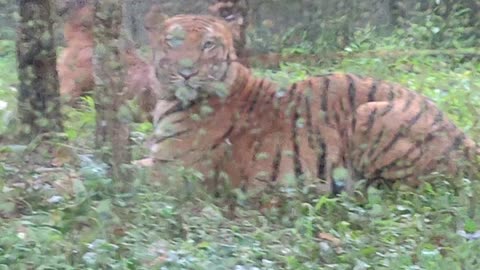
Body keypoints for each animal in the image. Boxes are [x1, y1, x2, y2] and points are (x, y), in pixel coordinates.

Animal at [146, 11, 480, 197]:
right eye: (174, 41)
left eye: (208, 45)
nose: (186, 71)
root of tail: (466, 140)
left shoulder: (175, 173)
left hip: (370, 113)